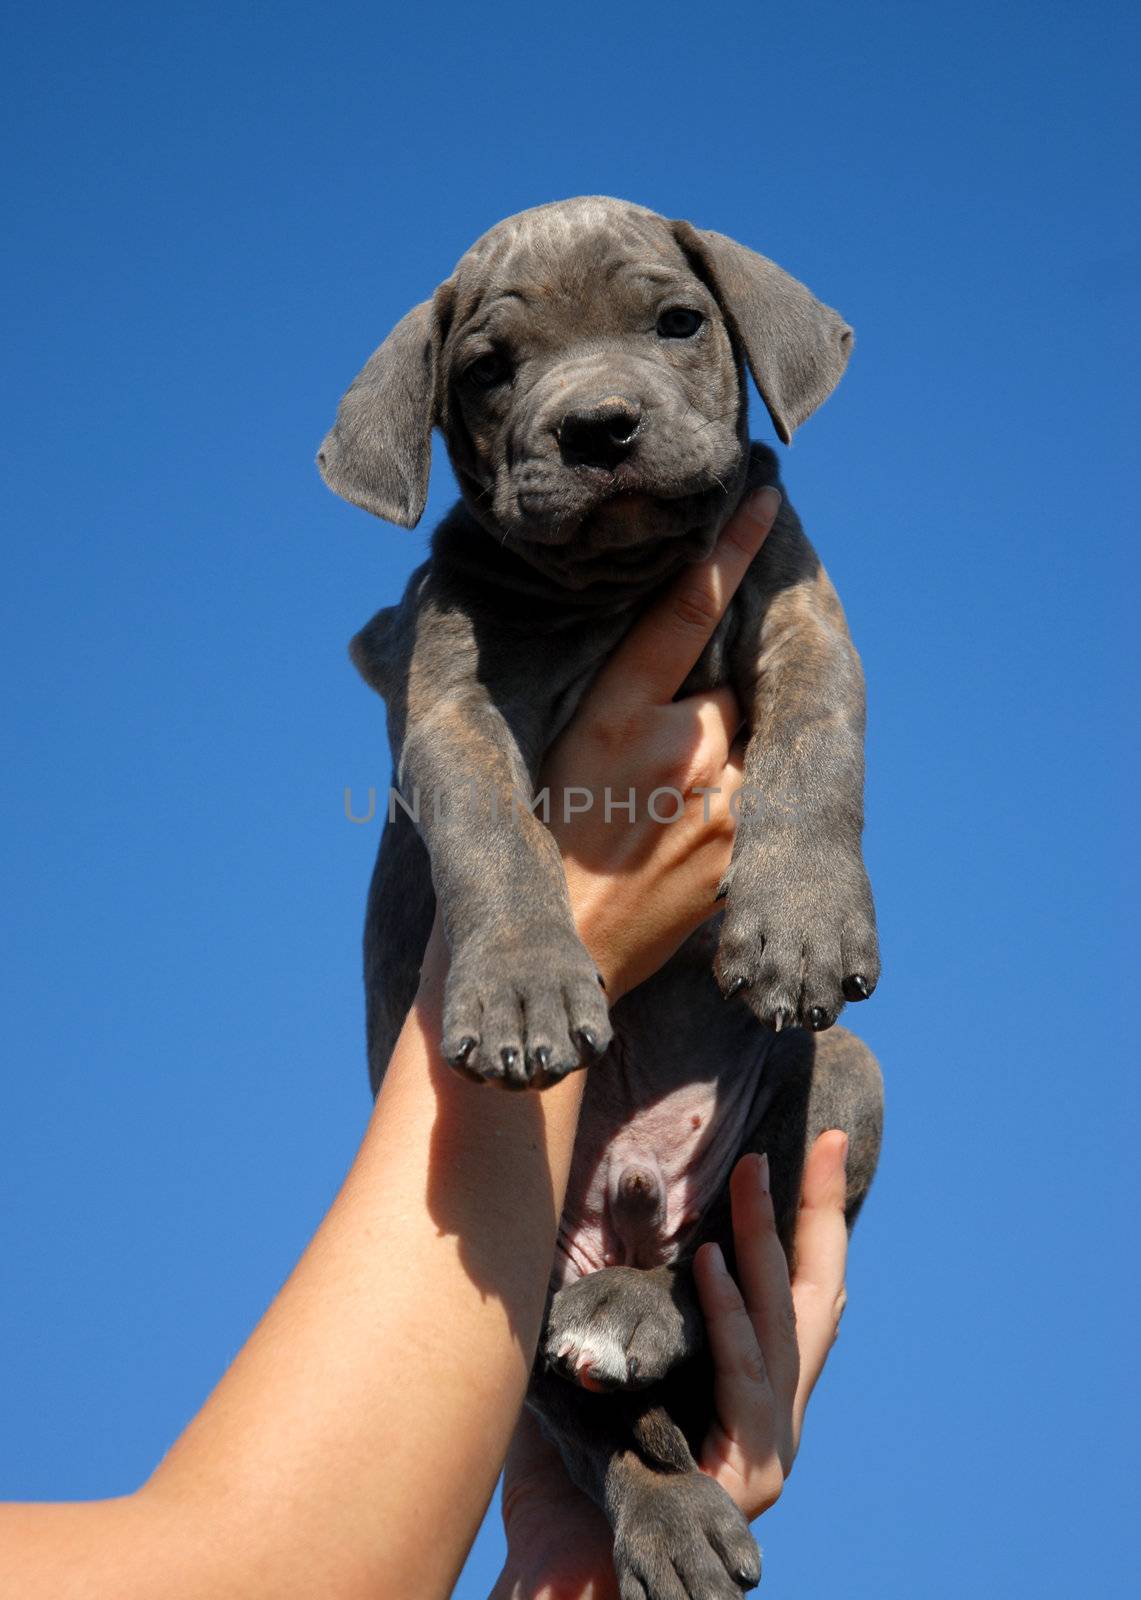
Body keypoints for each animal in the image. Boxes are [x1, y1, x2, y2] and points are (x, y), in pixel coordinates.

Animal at [315, 200, 883, 1600]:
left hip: (840, 1085)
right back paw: (664, 1501)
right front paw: (525, 987)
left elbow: (816, 746)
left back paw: (631, 1316)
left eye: (677, 321)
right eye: (487, 368)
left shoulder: (801, 610)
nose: (598, 428)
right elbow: (493, 837)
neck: (617, 585)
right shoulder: (447, 702)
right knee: (589, 1420)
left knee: (716, 1259)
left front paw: (797, 923)